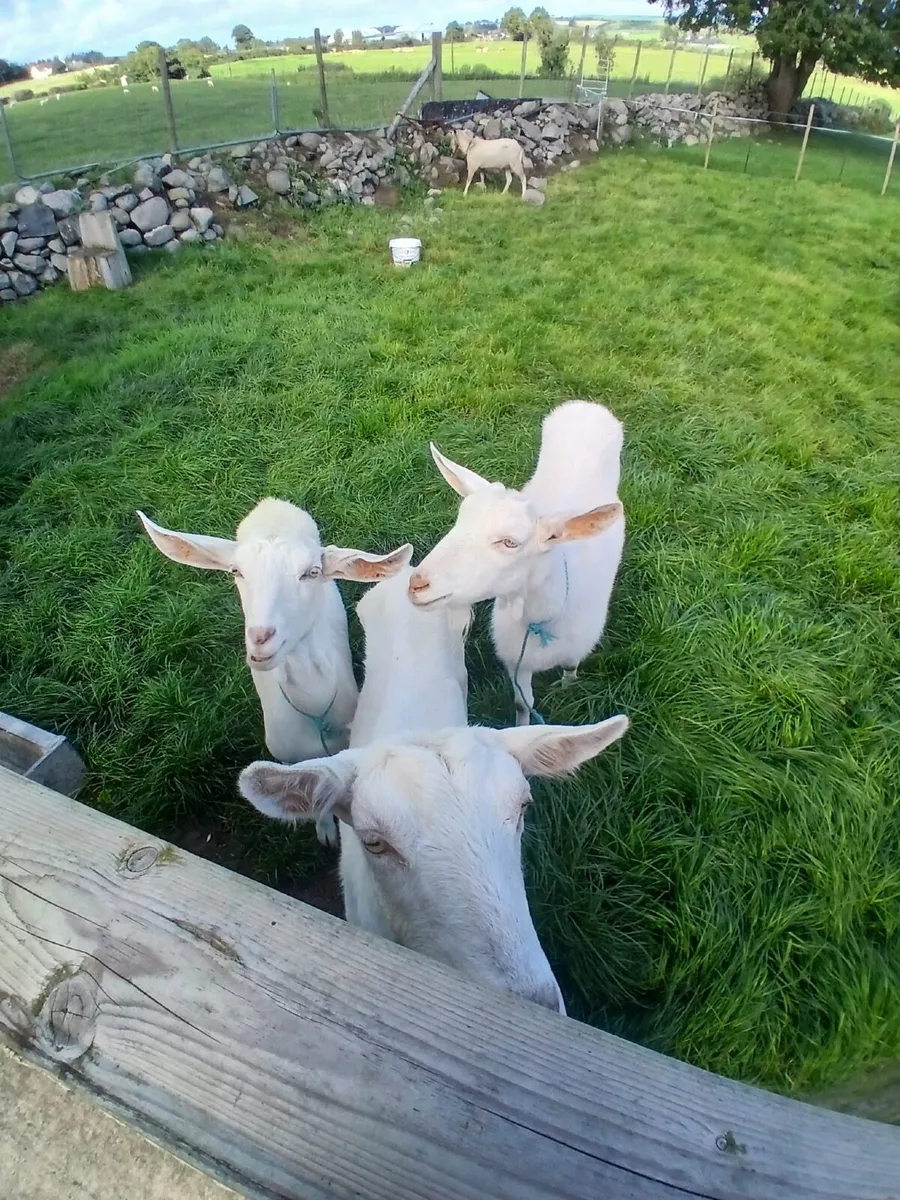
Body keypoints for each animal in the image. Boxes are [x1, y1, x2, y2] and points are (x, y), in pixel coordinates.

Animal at [137, 499, 412, 843]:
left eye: (312, 572)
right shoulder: (287, 755)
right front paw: (324, 829)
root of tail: (270, 503)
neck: (315, 712)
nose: (261, 638)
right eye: (236, 571)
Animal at [409, 401, 625, 725]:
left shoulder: (575, 648)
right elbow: (523, 703)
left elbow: (570, 669)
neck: (539, 621)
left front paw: (566, 686)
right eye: (459, 520)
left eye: (510, 542)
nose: (417, 584)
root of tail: (585, 405)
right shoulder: (516, 660)